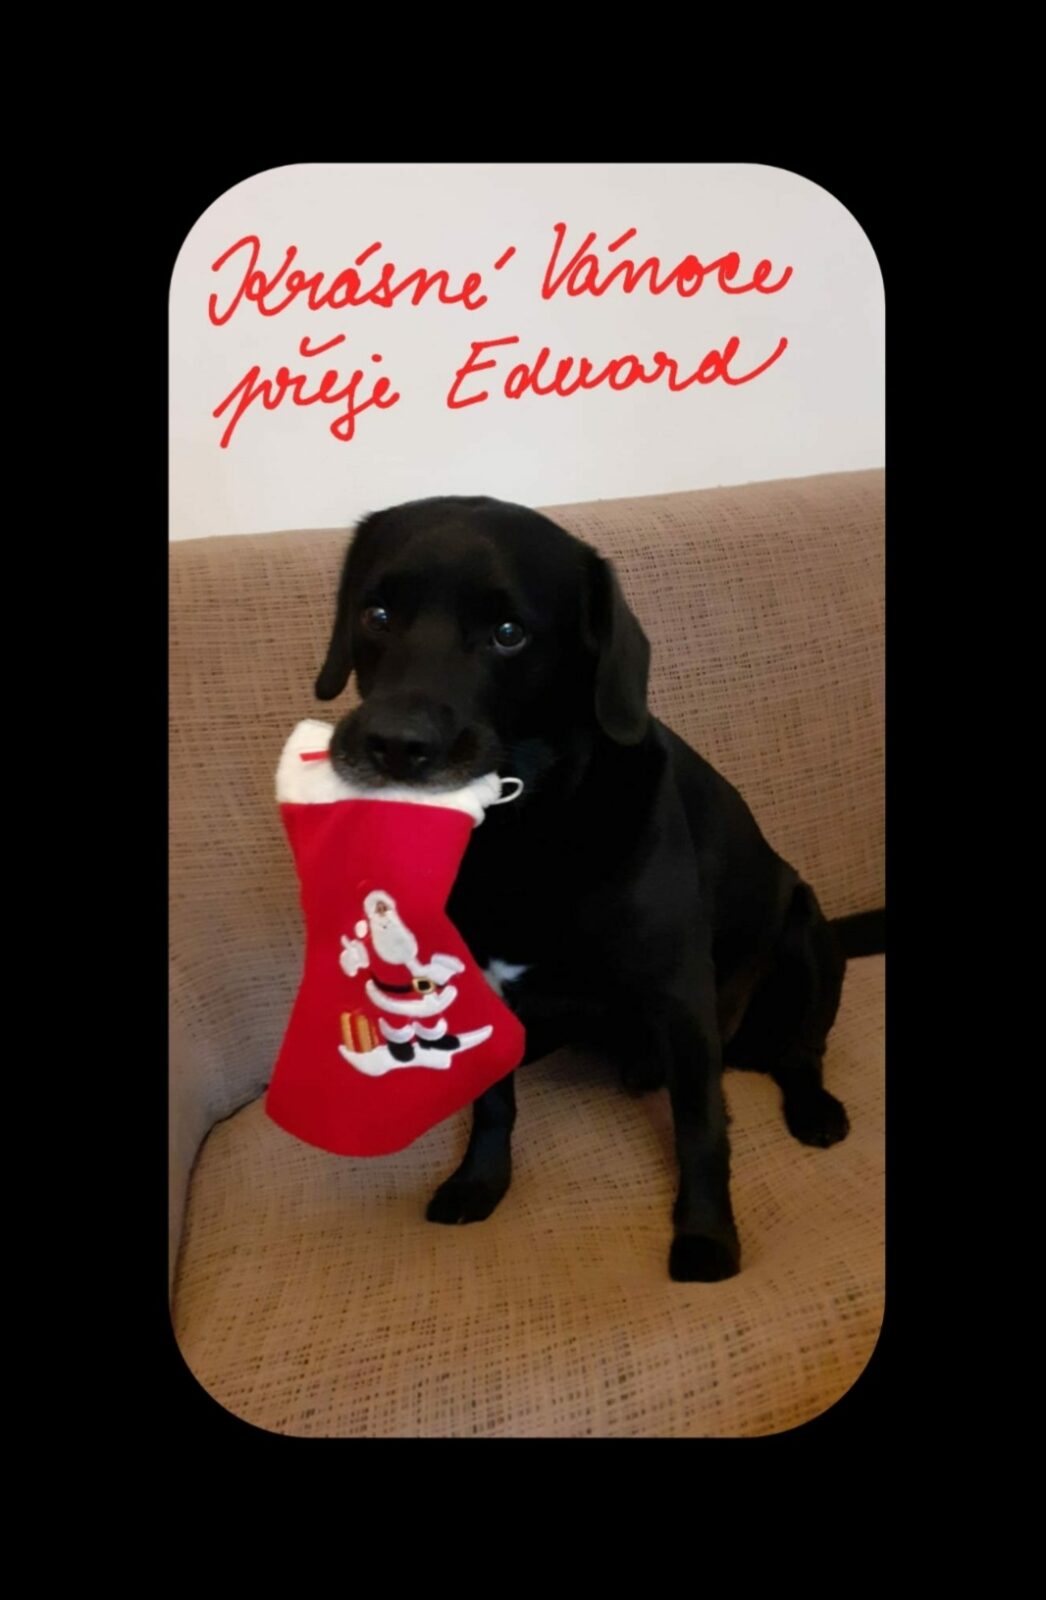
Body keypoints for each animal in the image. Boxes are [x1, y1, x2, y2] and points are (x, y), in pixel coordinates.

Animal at [315, 494, 852, 1281]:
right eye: (376, 614)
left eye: (509, 634)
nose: (393, 745)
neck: (517, 833)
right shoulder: (475, 981)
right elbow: (493, 1105)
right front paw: (480, 1182)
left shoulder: (680, 996)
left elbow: (700, 1130)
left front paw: (707, 1238)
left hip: (808, 936)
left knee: (801, 1051)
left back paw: (814, 1108)